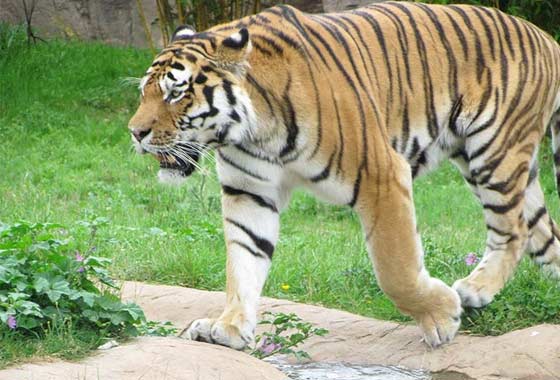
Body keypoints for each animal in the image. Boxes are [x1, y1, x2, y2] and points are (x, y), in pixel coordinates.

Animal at [127, 1, 560, 348]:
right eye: (145, 92)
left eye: (176, 92)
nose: (135, 132)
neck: (251, 131)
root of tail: (546, 38)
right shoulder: (249, 191)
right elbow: (243, 260)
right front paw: (229, 328)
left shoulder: (381, 175)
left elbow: (396, 270)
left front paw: (441, 317)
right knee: (542, 232)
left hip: (493, 152)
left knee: (513, 230)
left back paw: (473, 289)